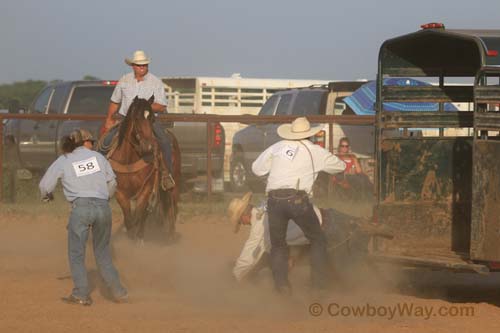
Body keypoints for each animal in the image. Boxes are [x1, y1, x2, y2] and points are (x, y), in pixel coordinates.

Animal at [105, 96, 182, 241]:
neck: (129, 161)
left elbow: (140, 216)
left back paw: (171, 234)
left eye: (151, 119)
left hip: (174, 181)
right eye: (136, 118)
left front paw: (139, 239)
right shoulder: (120, 192)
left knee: (171, 205)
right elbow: (129, 219)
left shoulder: (146, 189)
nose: (148, 146)